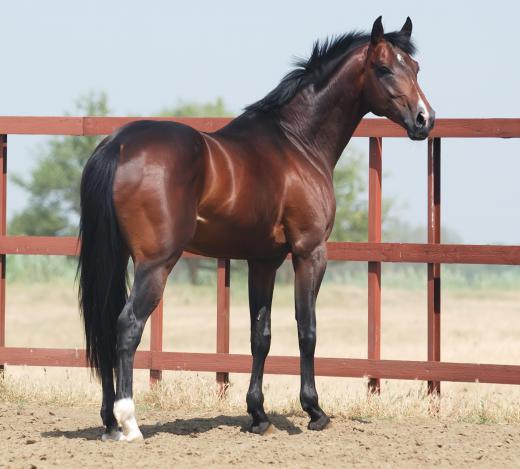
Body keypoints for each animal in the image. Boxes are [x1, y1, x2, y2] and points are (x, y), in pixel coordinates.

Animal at [77, 15, 434, 438]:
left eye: (415, 68)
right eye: (383, 68)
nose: (424, 120)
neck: (297, 142)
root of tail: (117, 145)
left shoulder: (263, 261)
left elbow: (259, 335)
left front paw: (258, 414)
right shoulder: (309, 252)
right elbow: (307, 329)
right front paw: (314, 410)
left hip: (118, 258)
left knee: (105, 324)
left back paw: (108, 420)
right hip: (156, 263)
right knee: (128, 325)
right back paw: (128, 421)